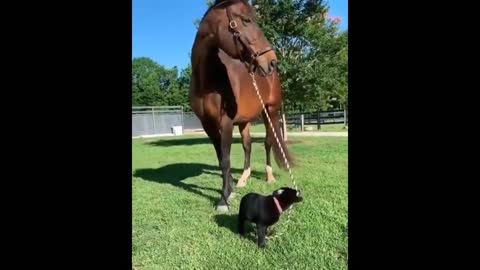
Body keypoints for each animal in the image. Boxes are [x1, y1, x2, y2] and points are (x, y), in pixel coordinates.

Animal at [189, 0, 294, 212]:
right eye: (246, 20)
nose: (271, 61)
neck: (207, 80)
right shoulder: (208, 125)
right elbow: (221, 158)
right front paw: (230, 190)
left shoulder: (226, 122)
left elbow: (226, 160)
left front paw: (223, 200)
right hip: (245, 121)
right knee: (248, 145)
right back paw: (243, 179)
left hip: (270, 112)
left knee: (268, 142)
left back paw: (269, 176)